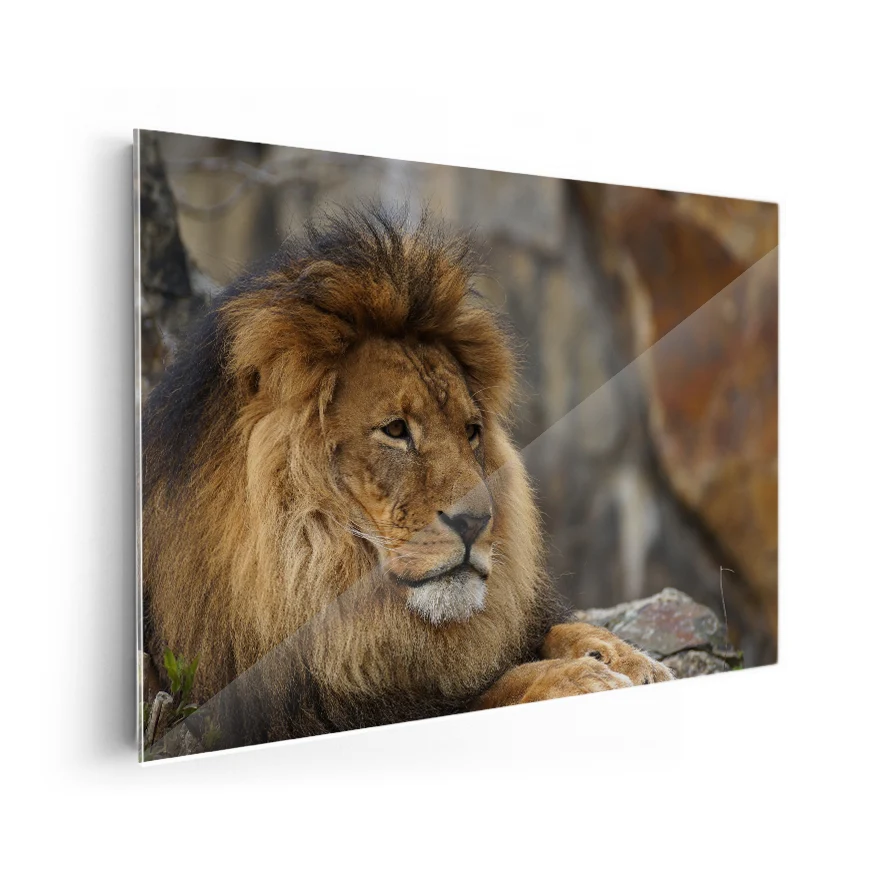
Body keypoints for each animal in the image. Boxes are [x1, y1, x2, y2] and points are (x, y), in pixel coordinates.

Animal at [142, 207, 672, 750]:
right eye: (396, 430)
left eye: (472, 431)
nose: (477, 523)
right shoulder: (303, 712)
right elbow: (482, 697)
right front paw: (576, 678)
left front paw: (626, 658)